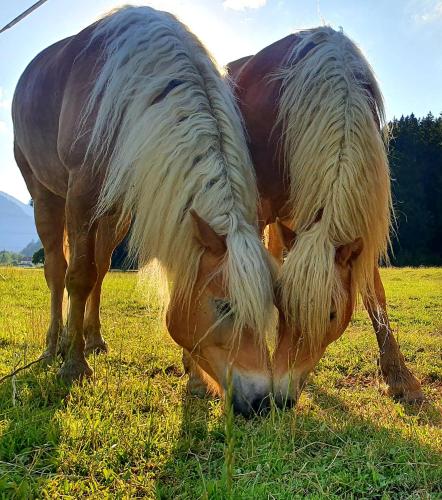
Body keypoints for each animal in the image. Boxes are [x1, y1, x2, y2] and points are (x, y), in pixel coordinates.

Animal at [12, 5, 274, 416]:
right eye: (224, 306)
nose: (264, 400)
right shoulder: (81, 193)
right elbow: (77, 277)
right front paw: (74, 368)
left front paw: (194, 377)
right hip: (46, 195)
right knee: (57, 270)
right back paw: (55, 347)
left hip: (112, 215)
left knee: (100, 270)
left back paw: (91, 339)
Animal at [223, 29, 424, 406]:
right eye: (282, 307)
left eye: (331, 315)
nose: (281, 397)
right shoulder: (259, 209)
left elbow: (374, 292)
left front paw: (400, 379)